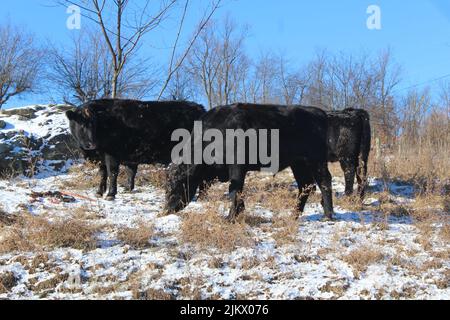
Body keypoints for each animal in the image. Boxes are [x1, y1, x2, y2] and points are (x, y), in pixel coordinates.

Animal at [66, 99, 207, 201]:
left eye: (94, 124)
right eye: (81, 124)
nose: (92, 144)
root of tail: (199, 108)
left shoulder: (112, 153)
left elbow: (112, 173)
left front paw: (111, 194)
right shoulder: (102, 156)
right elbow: (104, 173)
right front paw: (100, 192)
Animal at [165, 104, 334, 221]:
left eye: (176, 184)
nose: (167, 209)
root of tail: (318, 112)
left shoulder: (237, 167)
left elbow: (234, 191)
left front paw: (230, 217)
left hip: (316, 161)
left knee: (324, 181)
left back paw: (328, 215)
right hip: (299, 164)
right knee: (306, 185)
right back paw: (293, 215)